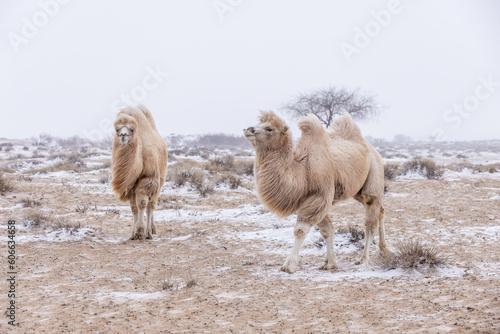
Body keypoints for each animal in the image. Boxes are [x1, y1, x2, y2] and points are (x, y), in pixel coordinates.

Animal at [244, 111, 388, 272]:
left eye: (269, 128)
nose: (248, 129)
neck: (301, 168)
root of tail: (373, 150)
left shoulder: (319, 195)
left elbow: (301, 230)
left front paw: (289, 265)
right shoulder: (310, 198)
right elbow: (327, 230)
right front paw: (330, 262)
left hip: (374, 176)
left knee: (370, 221)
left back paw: (363, 259)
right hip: (357, 191)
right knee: (381, 210)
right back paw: (383, 250)